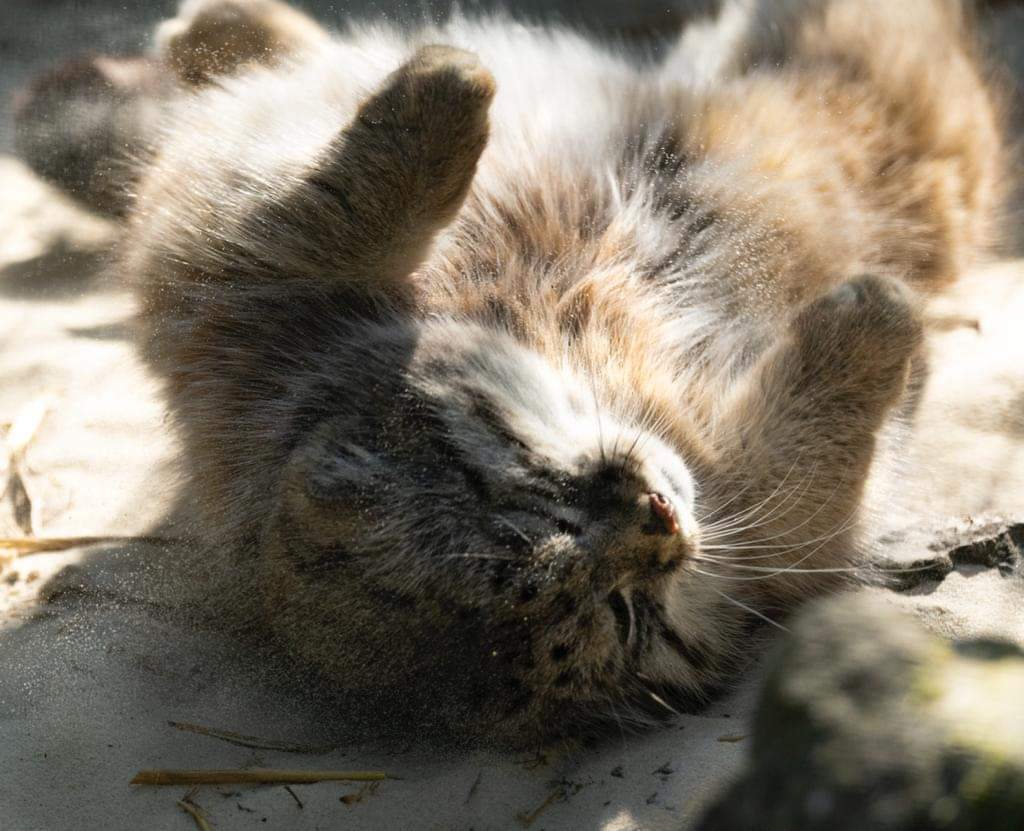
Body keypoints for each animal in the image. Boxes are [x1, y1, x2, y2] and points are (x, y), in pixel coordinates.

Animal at [32, 0, 1007, 740]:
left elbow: (302, 213)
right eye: (629, 612)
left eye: (535, 496)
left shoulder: (226, 303)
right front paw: (876, 317)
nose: (661, 522)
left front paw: (443, 91)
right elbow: (817, 470)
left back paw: (222, 32)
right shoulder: (762, 531)